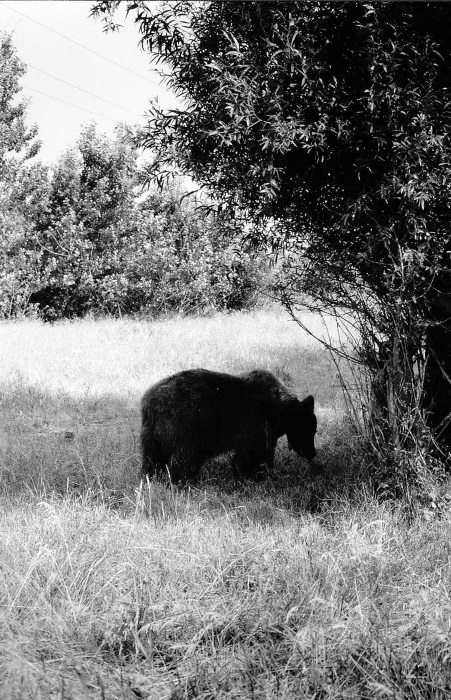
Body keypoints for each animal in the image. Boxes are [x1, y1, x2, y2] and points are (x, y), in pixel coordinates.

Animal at [141, 370, 318, 484]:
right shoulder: (256, 425)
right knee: (185, 458)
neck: (281, 411)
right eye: (309, 431)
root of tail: (151, 401)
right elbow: (252, 454)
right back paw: (183, 481)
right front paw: (252, 475)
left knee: (152, 458)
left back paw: (151, 477)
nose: (312, 453)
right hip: (187, 425)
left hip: (151, 433)